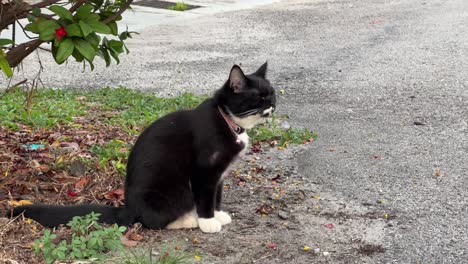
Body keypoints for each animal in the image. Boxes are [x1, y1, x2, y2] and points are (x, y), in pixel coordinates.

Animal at [11, 62, 276, 233]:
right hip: (171, 190)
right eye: (259, 98)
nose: (273, 104)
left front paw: (218, 214)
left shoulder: (219, 174)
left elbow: (216, 195)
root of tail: (127, 208)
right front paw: (208, 222)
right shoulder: (204, 170)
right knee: (151, 221)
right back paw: (187, 221)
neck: (227, 120)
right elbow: (205, 197)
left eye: (272, 94)